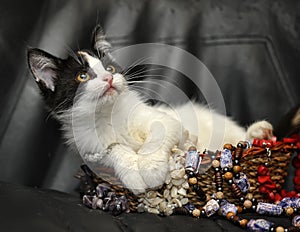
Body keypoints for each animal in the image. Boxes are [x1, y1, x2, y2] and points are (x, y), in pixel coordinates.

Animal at [27, 25, 274, 194]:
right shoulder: (90, 150)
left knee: (244, 140)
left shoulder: (168, 121)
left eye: (110, 68)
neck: (108, 116)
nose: (109, 78)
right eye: (82, 76)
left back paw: (261, 132)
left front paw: (150, 170)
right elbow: (113, 150)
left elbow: (160, 135)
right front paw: (134, 176)